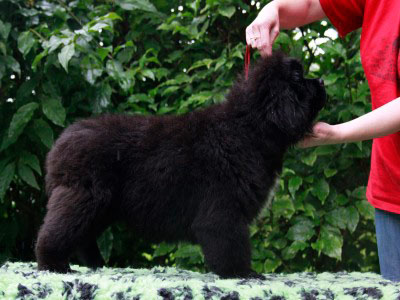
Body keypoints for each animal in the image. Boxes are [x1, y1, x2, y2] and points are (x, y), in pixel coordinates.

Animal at [36, 51, 326, 278]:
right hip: (84, 197)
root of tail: (60, 143)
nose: (322, 80)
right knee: (56, 232)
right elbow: (232, 244)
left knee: (83, 236)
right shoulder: (224, 209)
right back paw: (53, 264)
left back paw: (97, 265)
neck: (249, 127)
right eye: (298, 79)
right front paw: (243, 273)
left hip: (100, 206)